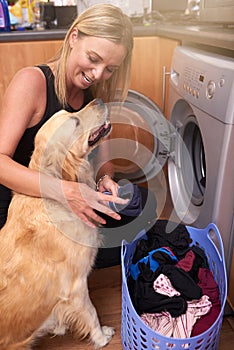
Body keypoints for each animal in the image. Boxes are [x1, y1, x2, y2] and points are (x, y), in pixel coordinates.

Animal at [0, 98, 114, 350]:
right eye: (75, 121)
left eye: (70, 111)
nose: (99, 100)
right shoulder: (76, 285)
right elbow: (91, 313)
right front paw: (101, 336)